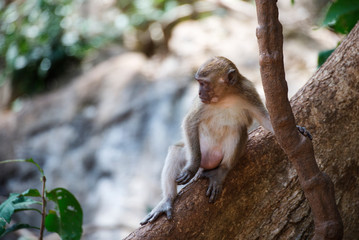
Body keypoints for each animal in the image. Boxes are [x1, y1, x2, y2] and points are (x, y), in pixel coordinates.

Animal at [139, 56, 274, 225]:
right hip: (196, 150)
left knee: (237, 130)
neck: (225, 98)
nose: (199, 92)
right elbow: (190, 122)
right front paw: (192, 168)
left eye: (204, 83)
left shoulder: (248, 92)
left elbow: (264, 119)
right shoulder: (202, 103)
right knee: (177, 150)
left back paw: (222, 171)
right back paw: (168, 199)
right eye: (198, 82)